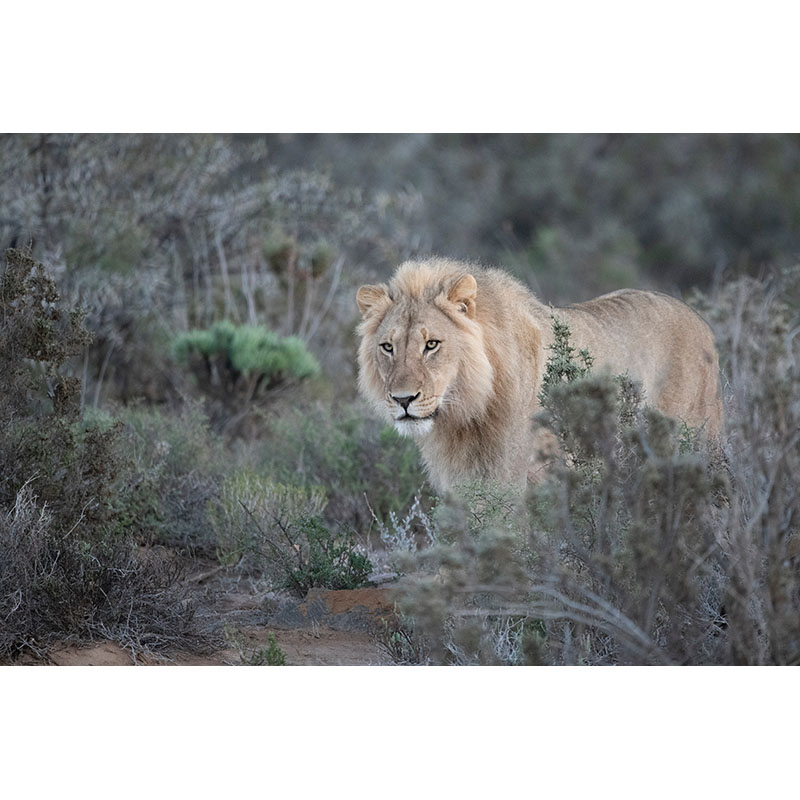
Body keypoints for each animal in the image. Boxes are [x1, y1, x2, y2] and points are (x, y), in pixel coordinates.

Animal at [354, 258, 720, 494]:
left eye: (431, 344)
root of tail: (700, 320)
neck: (464, 416)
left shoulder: (516, 477)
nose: (403, 400)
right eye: (388, 347)